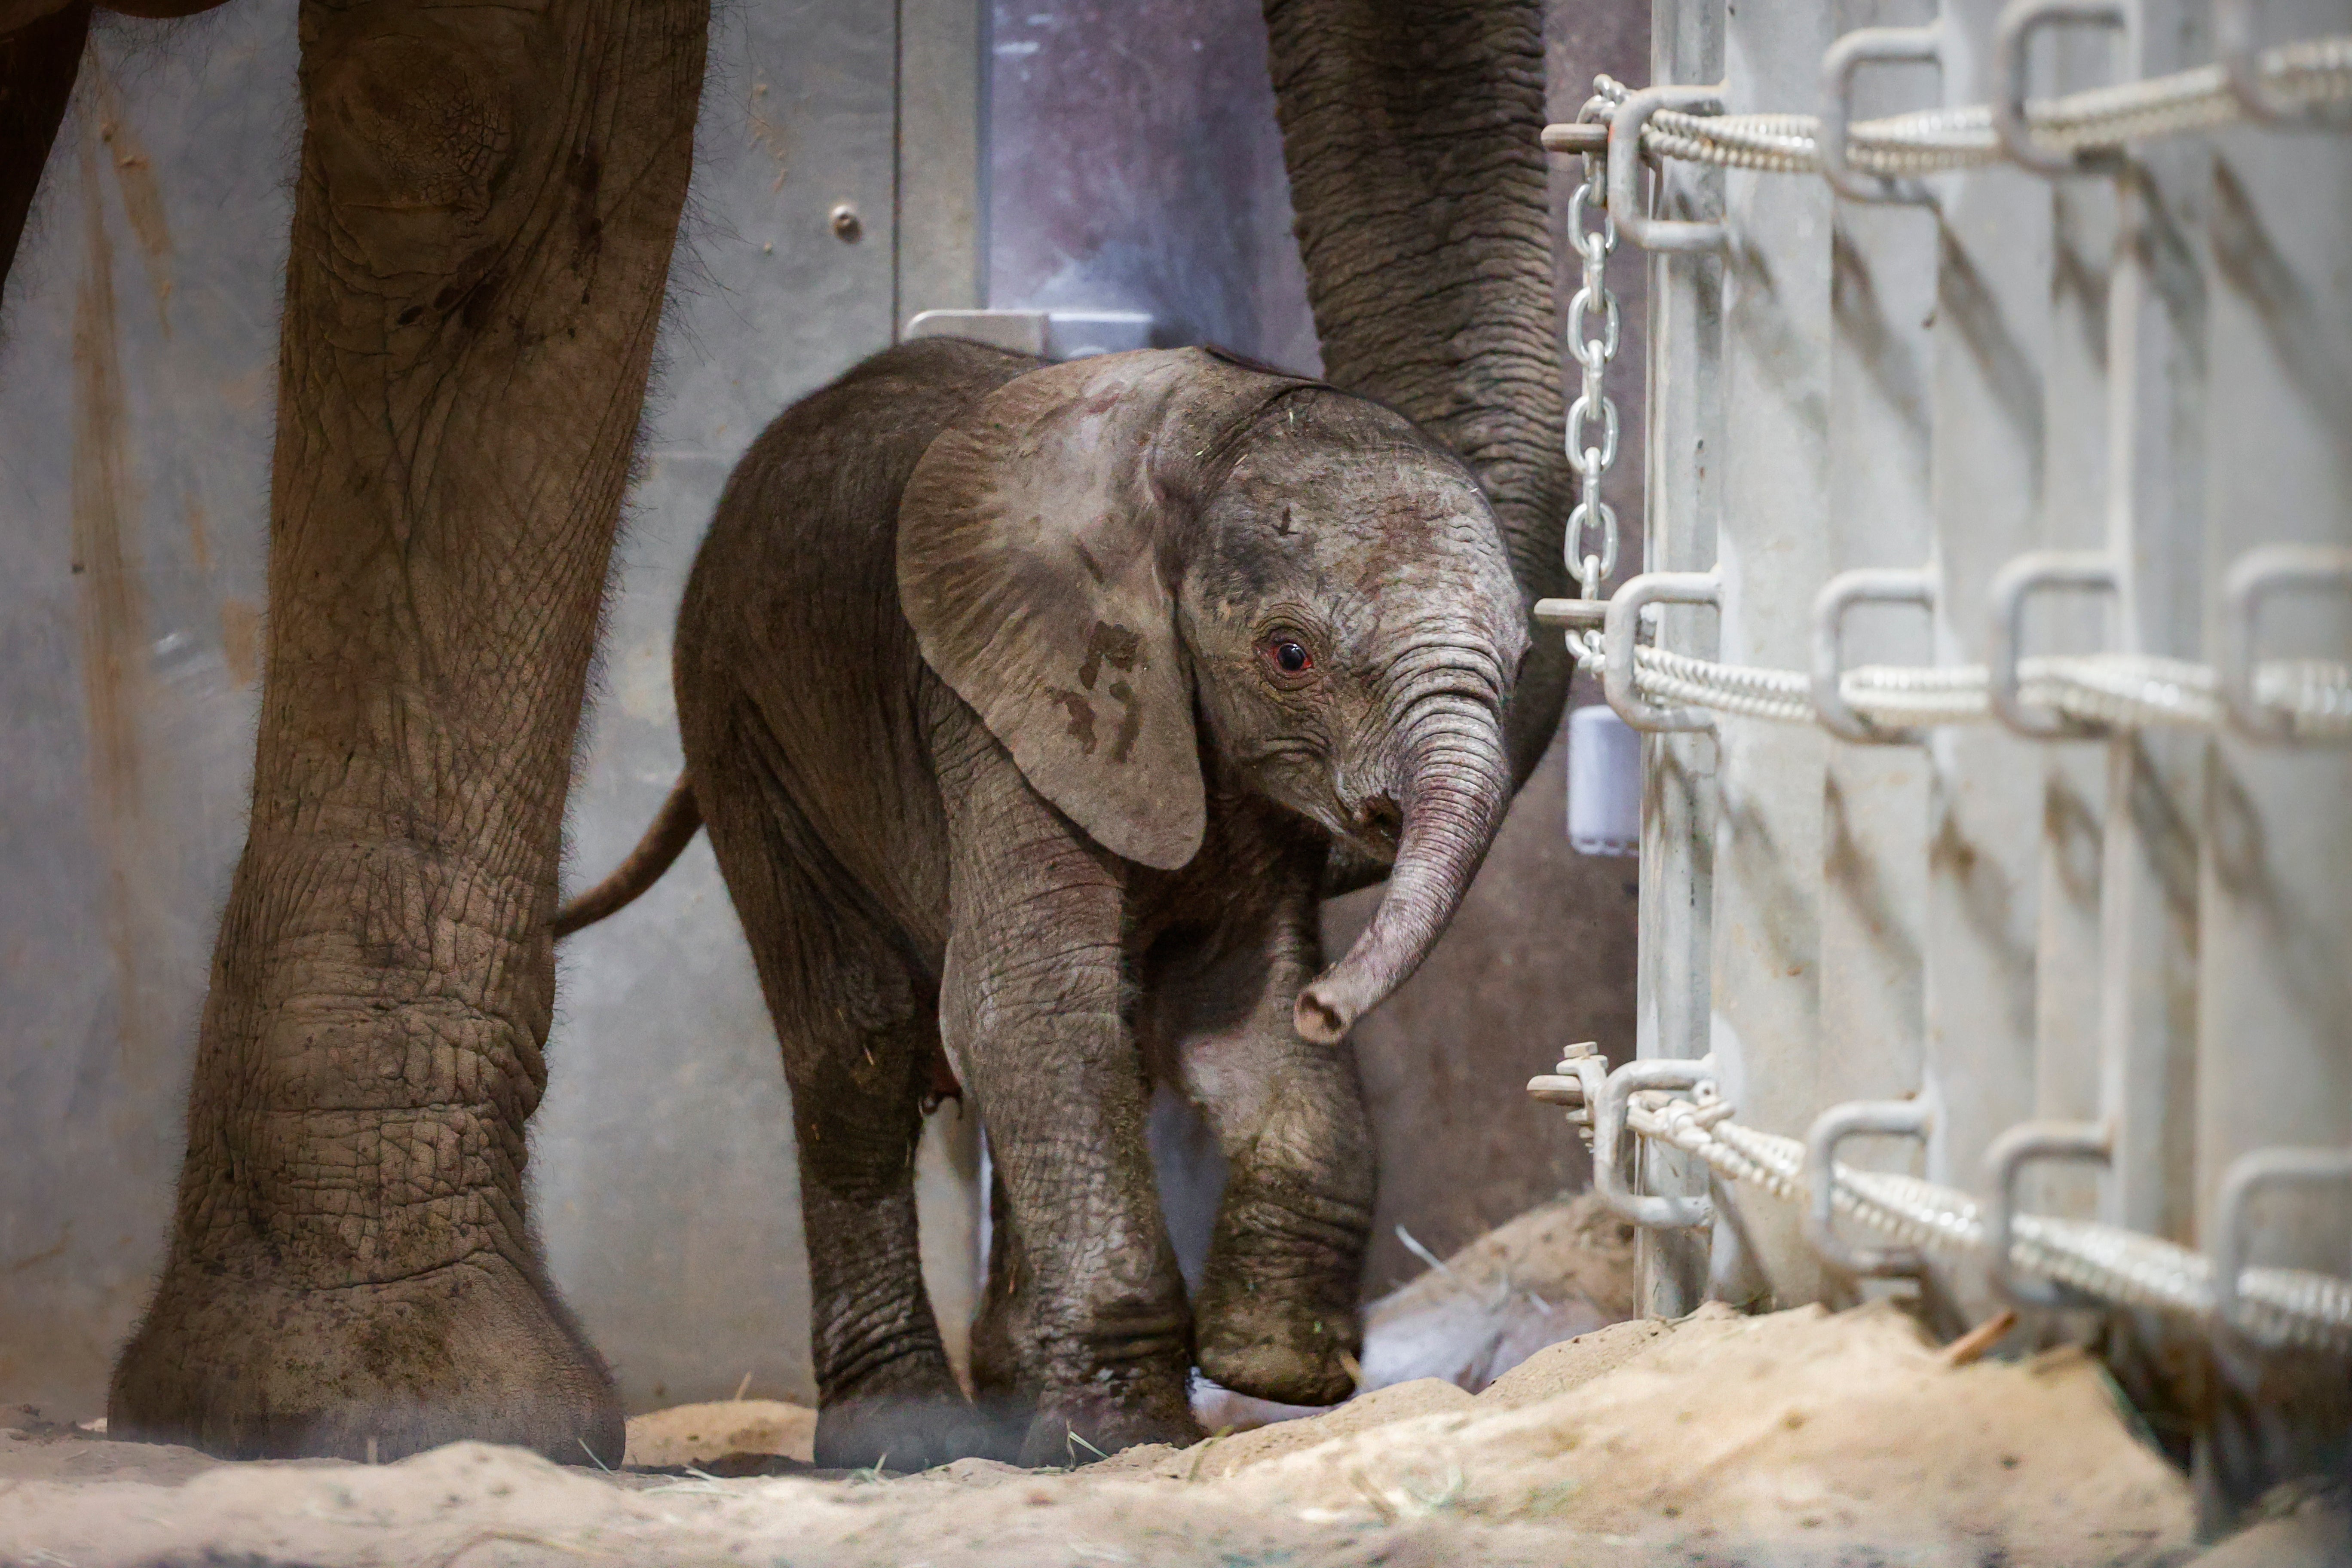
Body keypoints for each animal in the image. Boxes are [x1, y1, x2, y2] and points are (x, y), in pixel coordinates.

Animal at [553, 336, 1531, 1467]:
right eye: (1290, 655)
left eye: (1520, 655)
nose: (1329, 1003)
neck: (1211, 424)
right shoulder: (1004, 702)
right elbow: (1023, 1008)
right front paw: (1123, 1436)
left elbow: (1231, 1018)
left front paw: (1271, 1368)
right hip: (742, 724)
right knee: (858, 1050)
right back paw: (905, 1433)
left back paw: (1012, 1398)